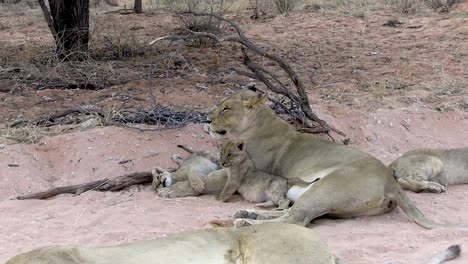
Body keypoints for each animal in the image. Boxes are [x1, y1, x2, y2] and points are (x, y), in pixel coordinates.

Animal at [158, 88, 468, 229]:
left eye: (225, 108)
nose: (206, 119)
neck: (259, 123)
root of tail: (388, 179)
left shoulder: (238, 169)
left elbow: (210, 179)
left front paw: (175, 188)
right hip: (311, 193)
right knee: (288, 212)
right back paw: (248, 215)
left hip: (325, 189)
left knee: (294, 219)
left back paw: (247, 222)